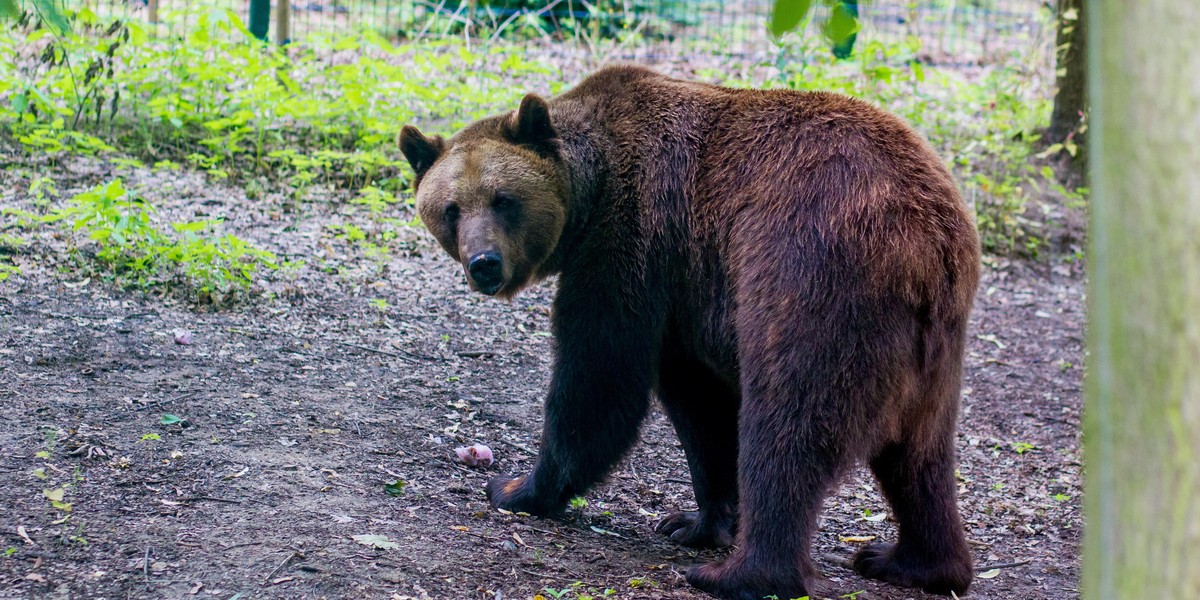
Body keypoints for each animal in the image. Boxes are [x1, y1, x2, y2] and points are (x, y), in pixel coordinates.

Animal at [398, 65, 979, 600]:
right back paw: (909, 561)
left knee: (787, 428)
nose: (484, 264)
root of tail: (926, 242)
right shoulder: (684, 296)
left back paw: (742, 575)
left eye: (503, 199)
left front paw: (516, 487)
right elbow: (699, 408)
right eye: (450, 209)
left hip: (814, 279)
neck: (591, 189)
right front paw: (694, 522)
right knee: (919, 459)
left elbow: (599, 377)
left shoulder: (634, 241)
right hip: (931, 352)